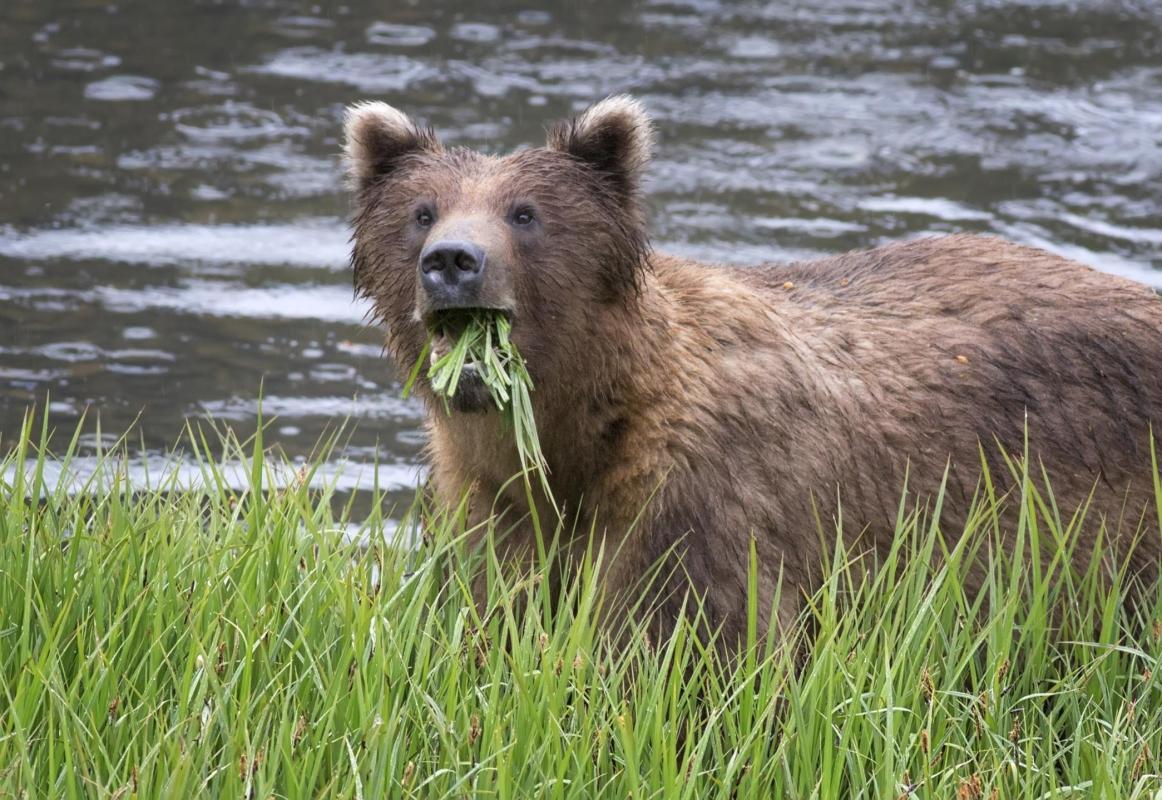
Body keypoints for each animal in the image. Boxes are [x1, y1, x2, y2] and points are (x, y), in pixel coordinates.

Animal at [339, 95, 1157, 641]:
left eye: (526, 213)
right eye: (421, 210)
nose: (452, 261)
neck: (580, 434)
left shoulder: (706, 502)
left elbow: (697, 642)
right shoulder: (487, 503)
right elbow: (495, 609)